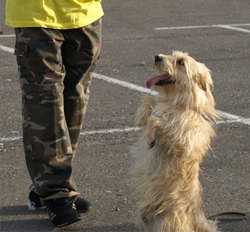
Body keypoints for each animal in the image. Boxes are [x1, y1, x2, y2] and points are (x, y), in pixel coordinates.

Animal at [131, 51, 219, 231]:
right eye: (172, 55)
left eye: (180, 62)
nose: (157, 57)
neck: (176, 102)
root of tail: (199, 221)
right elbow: (149, 100)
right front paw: (141, 116)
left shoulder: (182, 143)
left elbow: (156, 120)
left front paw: (150, 137)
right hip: (144, 214)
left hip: (166, 223)